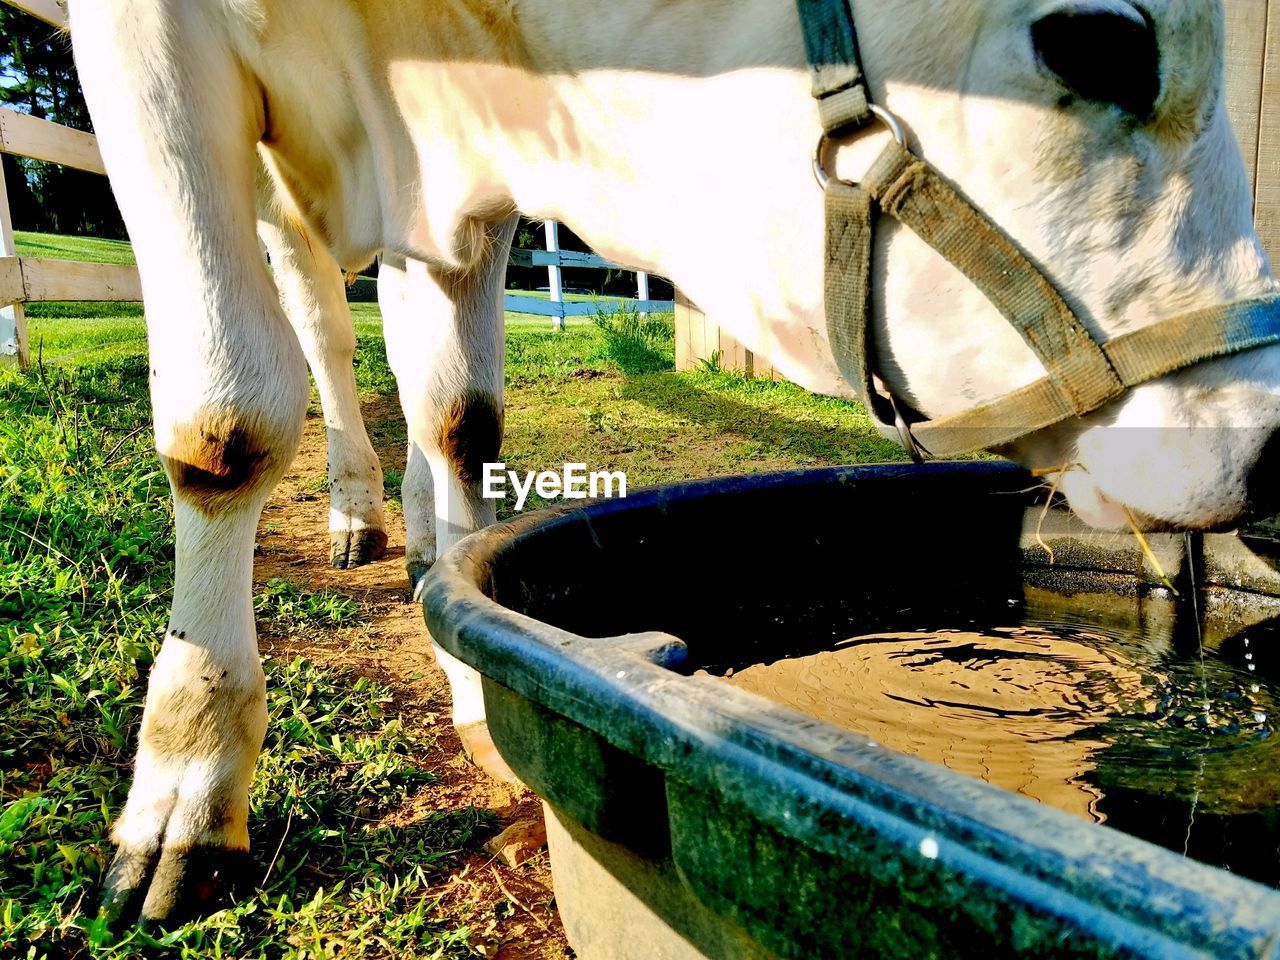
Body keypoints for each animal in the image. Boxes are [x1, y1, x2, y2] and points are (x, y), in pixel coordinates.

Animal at [67, 0, 1280, 926]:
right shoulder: (147, 43)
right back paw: (352, 514)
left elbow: (463, 417)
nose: (1274, 448)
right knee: (320, 326)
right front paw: (184, 791)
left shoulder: (468, 170)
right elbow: (225, 425)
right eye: (1097, 41)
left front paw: (465, 659)